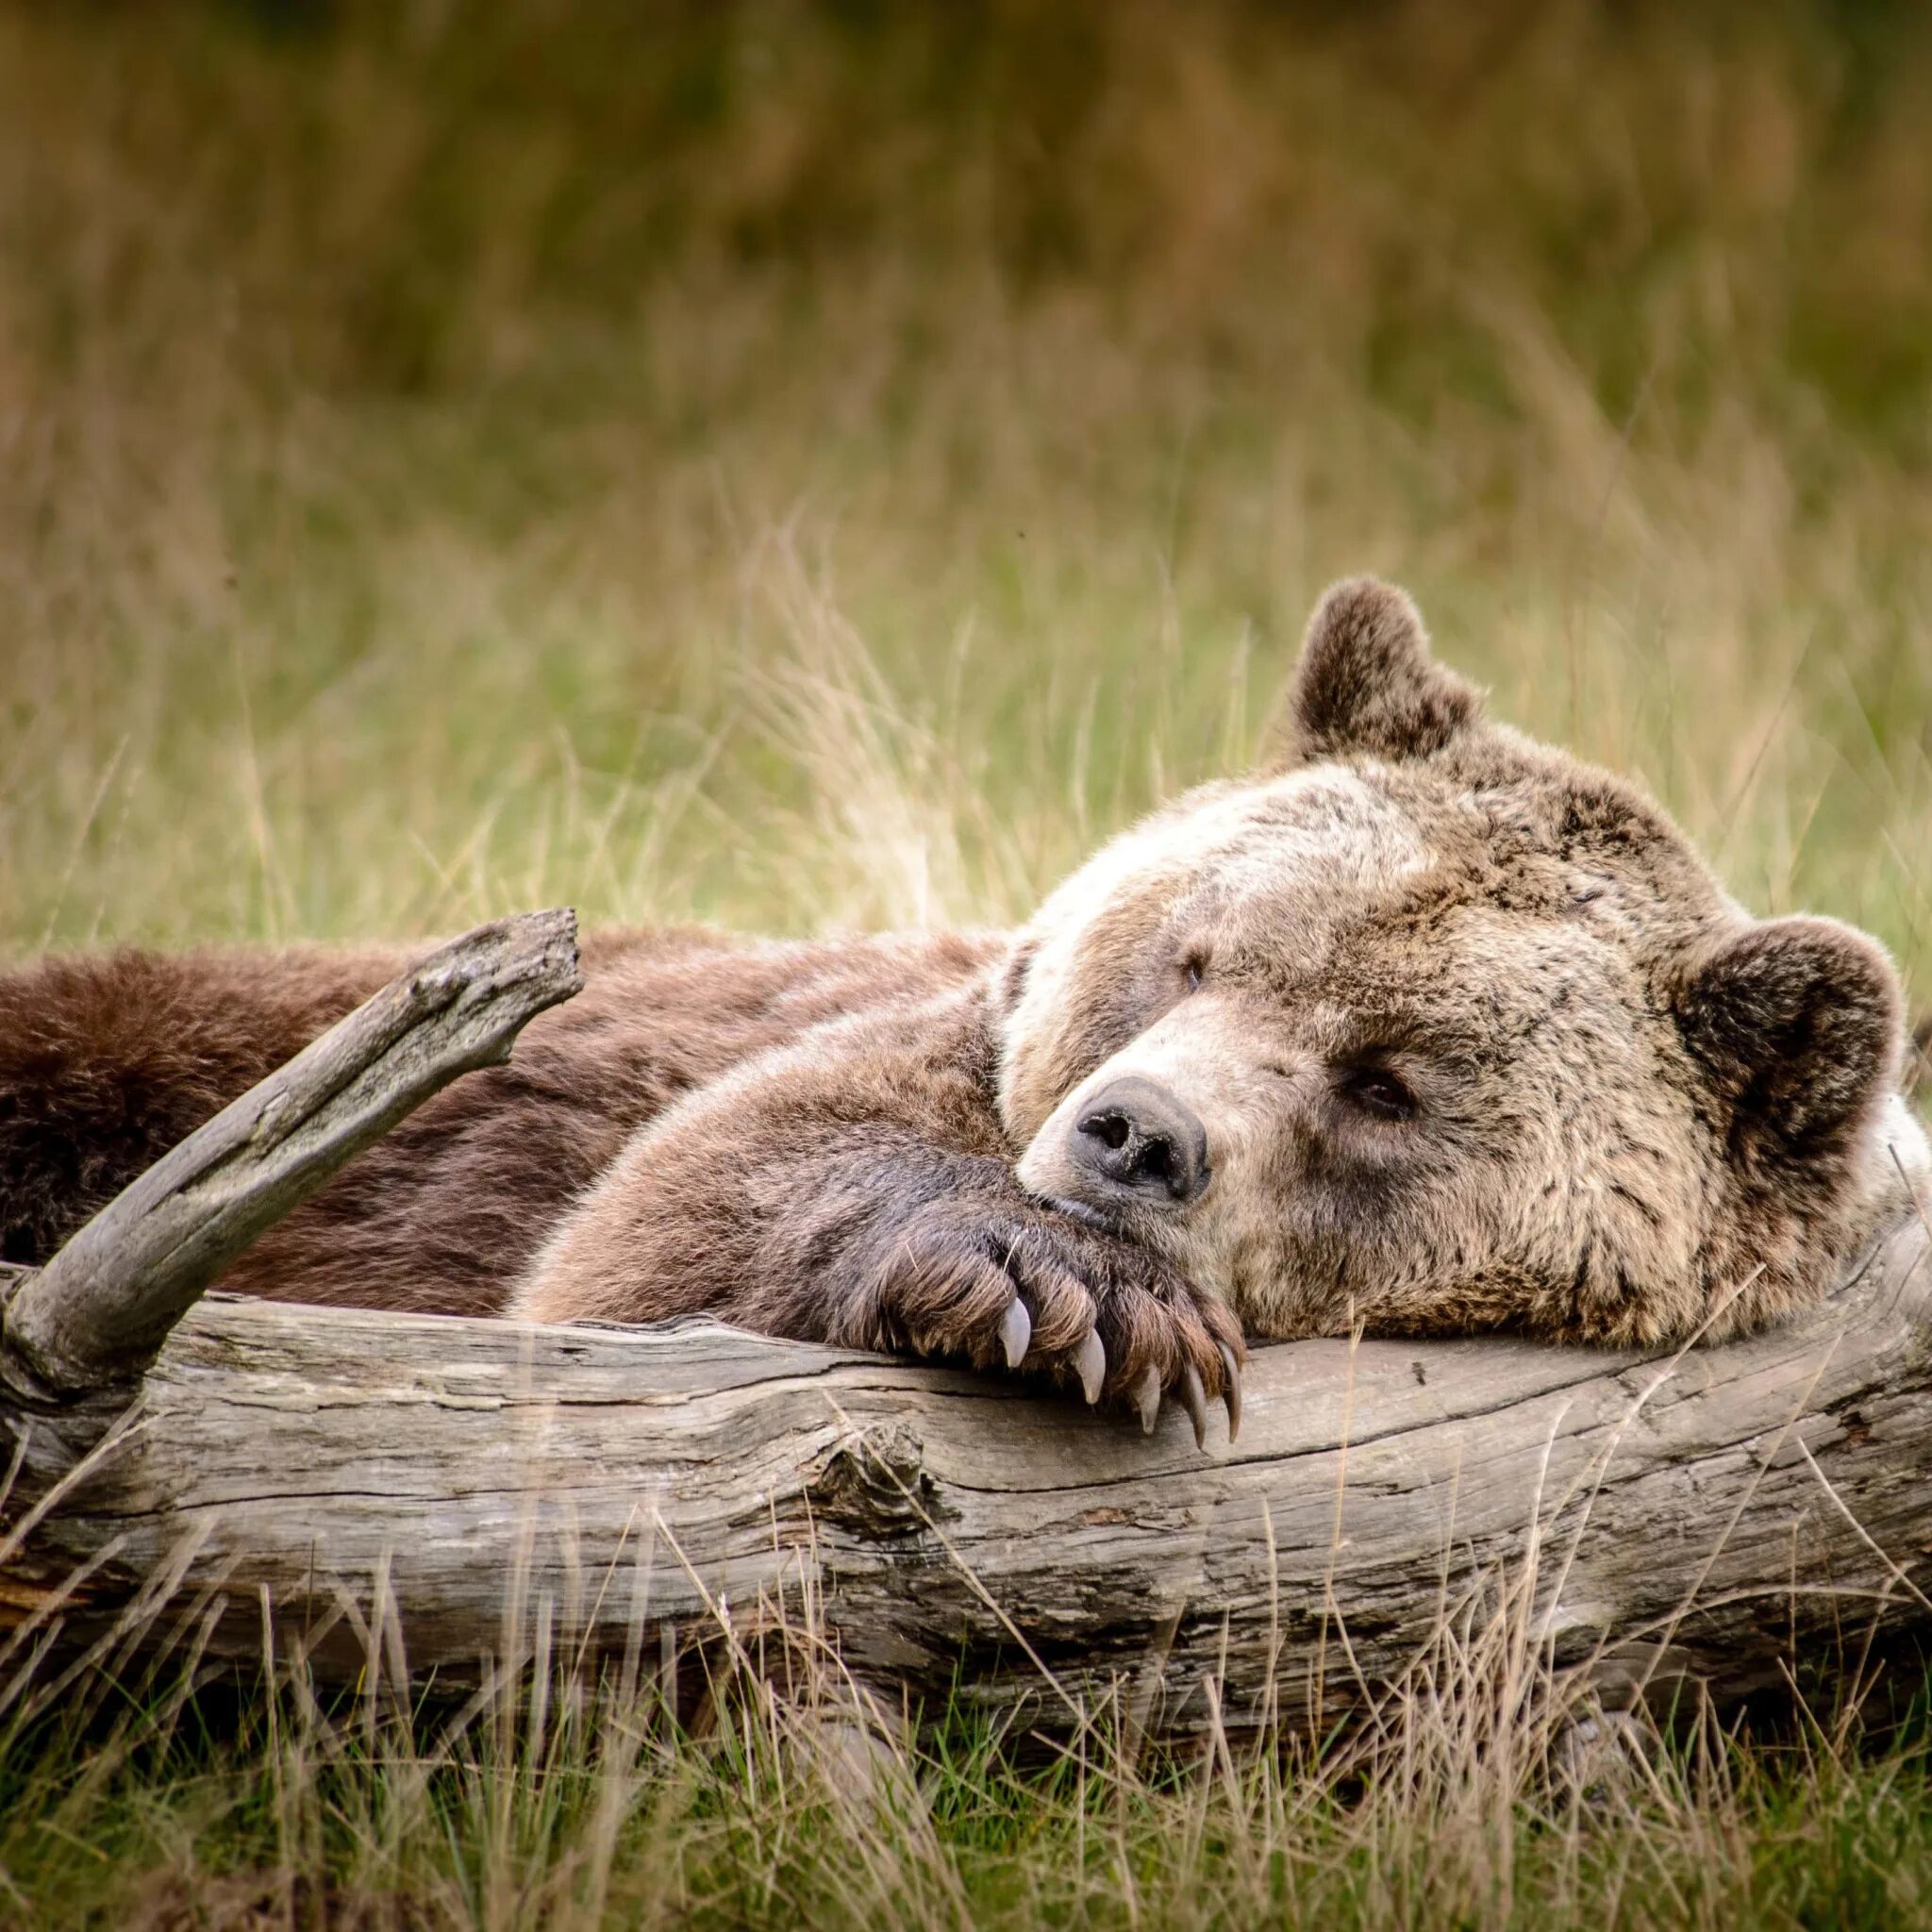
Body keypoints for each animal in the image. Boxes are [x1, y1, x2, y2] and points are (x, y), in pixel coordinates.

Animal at [4, 579, 1932, 1444]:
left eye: (1387, 1080)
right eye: (1195, 952)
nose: (1131, 1136)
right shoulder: (850, 1056)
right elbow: (664, 1224)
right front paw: (1059, 1288)